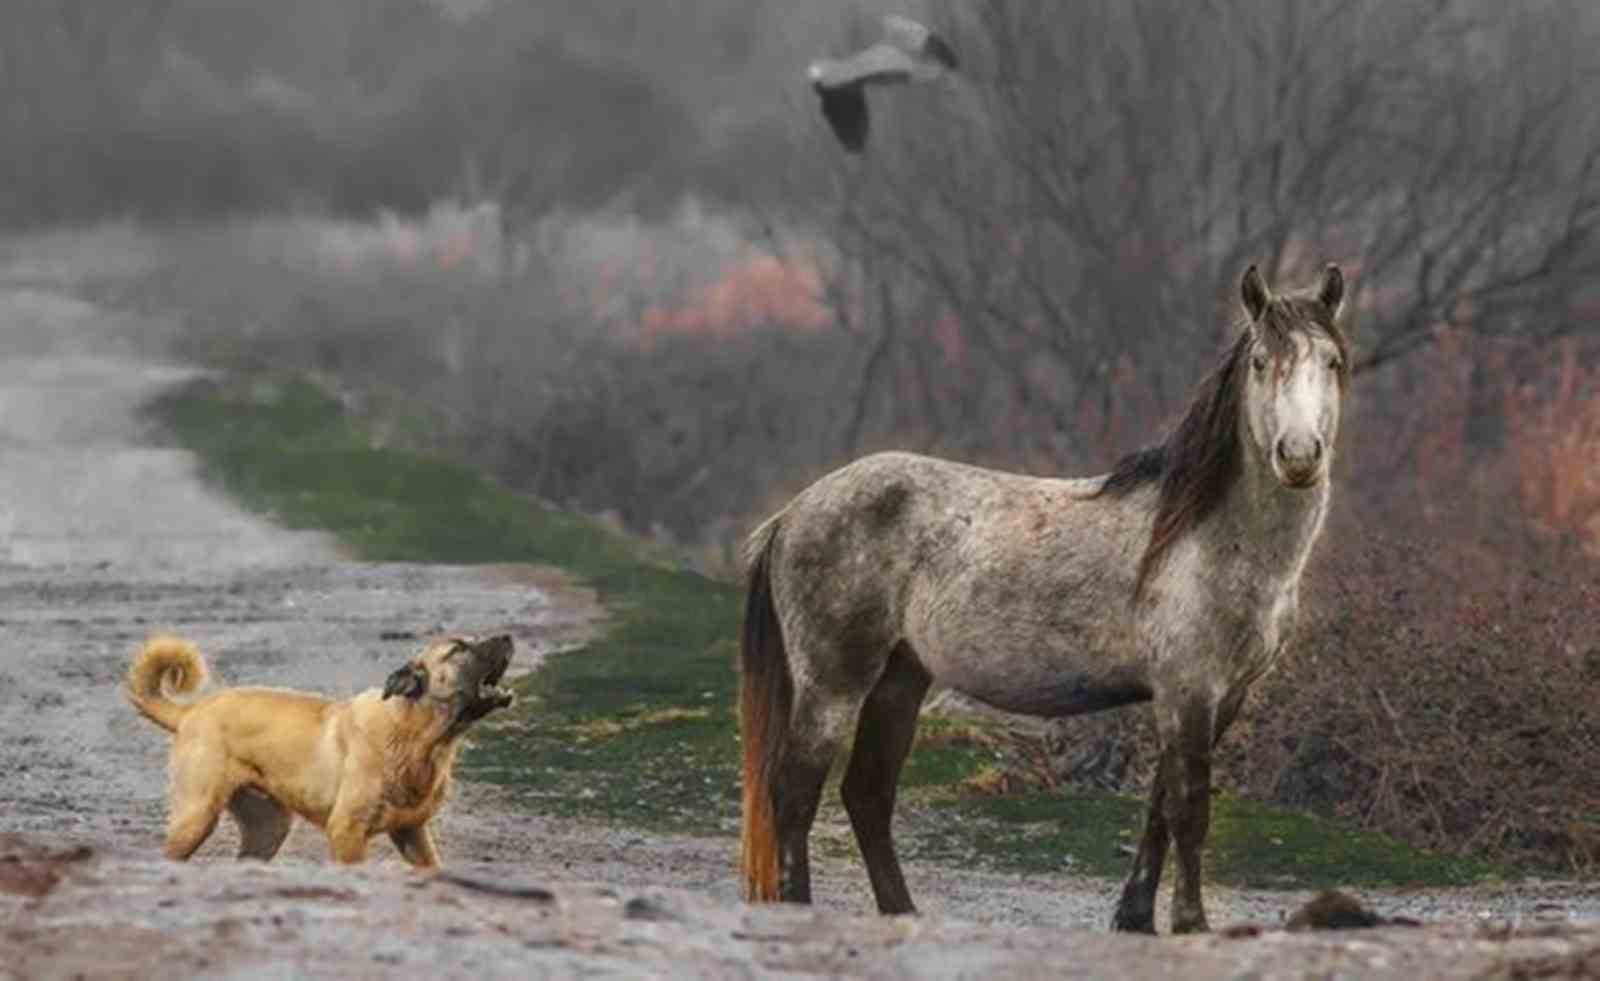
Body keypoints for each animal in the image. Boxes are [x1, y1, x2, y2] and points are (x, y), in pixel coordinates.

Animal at [127, 627, 512, 864]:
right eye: (459, 648)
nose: (508, 636)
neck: (416, 734)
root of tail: (191, 711)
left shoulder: (412, 833)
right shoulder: (346, 831)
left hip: (267, 828)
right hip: (196, 817)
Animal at [736, 262, 1350, 934]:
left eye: (1332, 361)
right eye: (1262, 362)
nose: (1299, 455)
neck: (1207, 537)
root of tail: (793, 514)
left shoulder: (1223, 697)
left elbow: (1159, 808)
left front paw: (1136, 918)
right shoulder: (1188, 691)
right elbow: (1189, 810)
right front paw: (1190, 923)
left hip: (899, 679)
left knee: (866, 794)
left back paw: (903, 912)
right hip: (832, 684)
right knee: (794, 793)